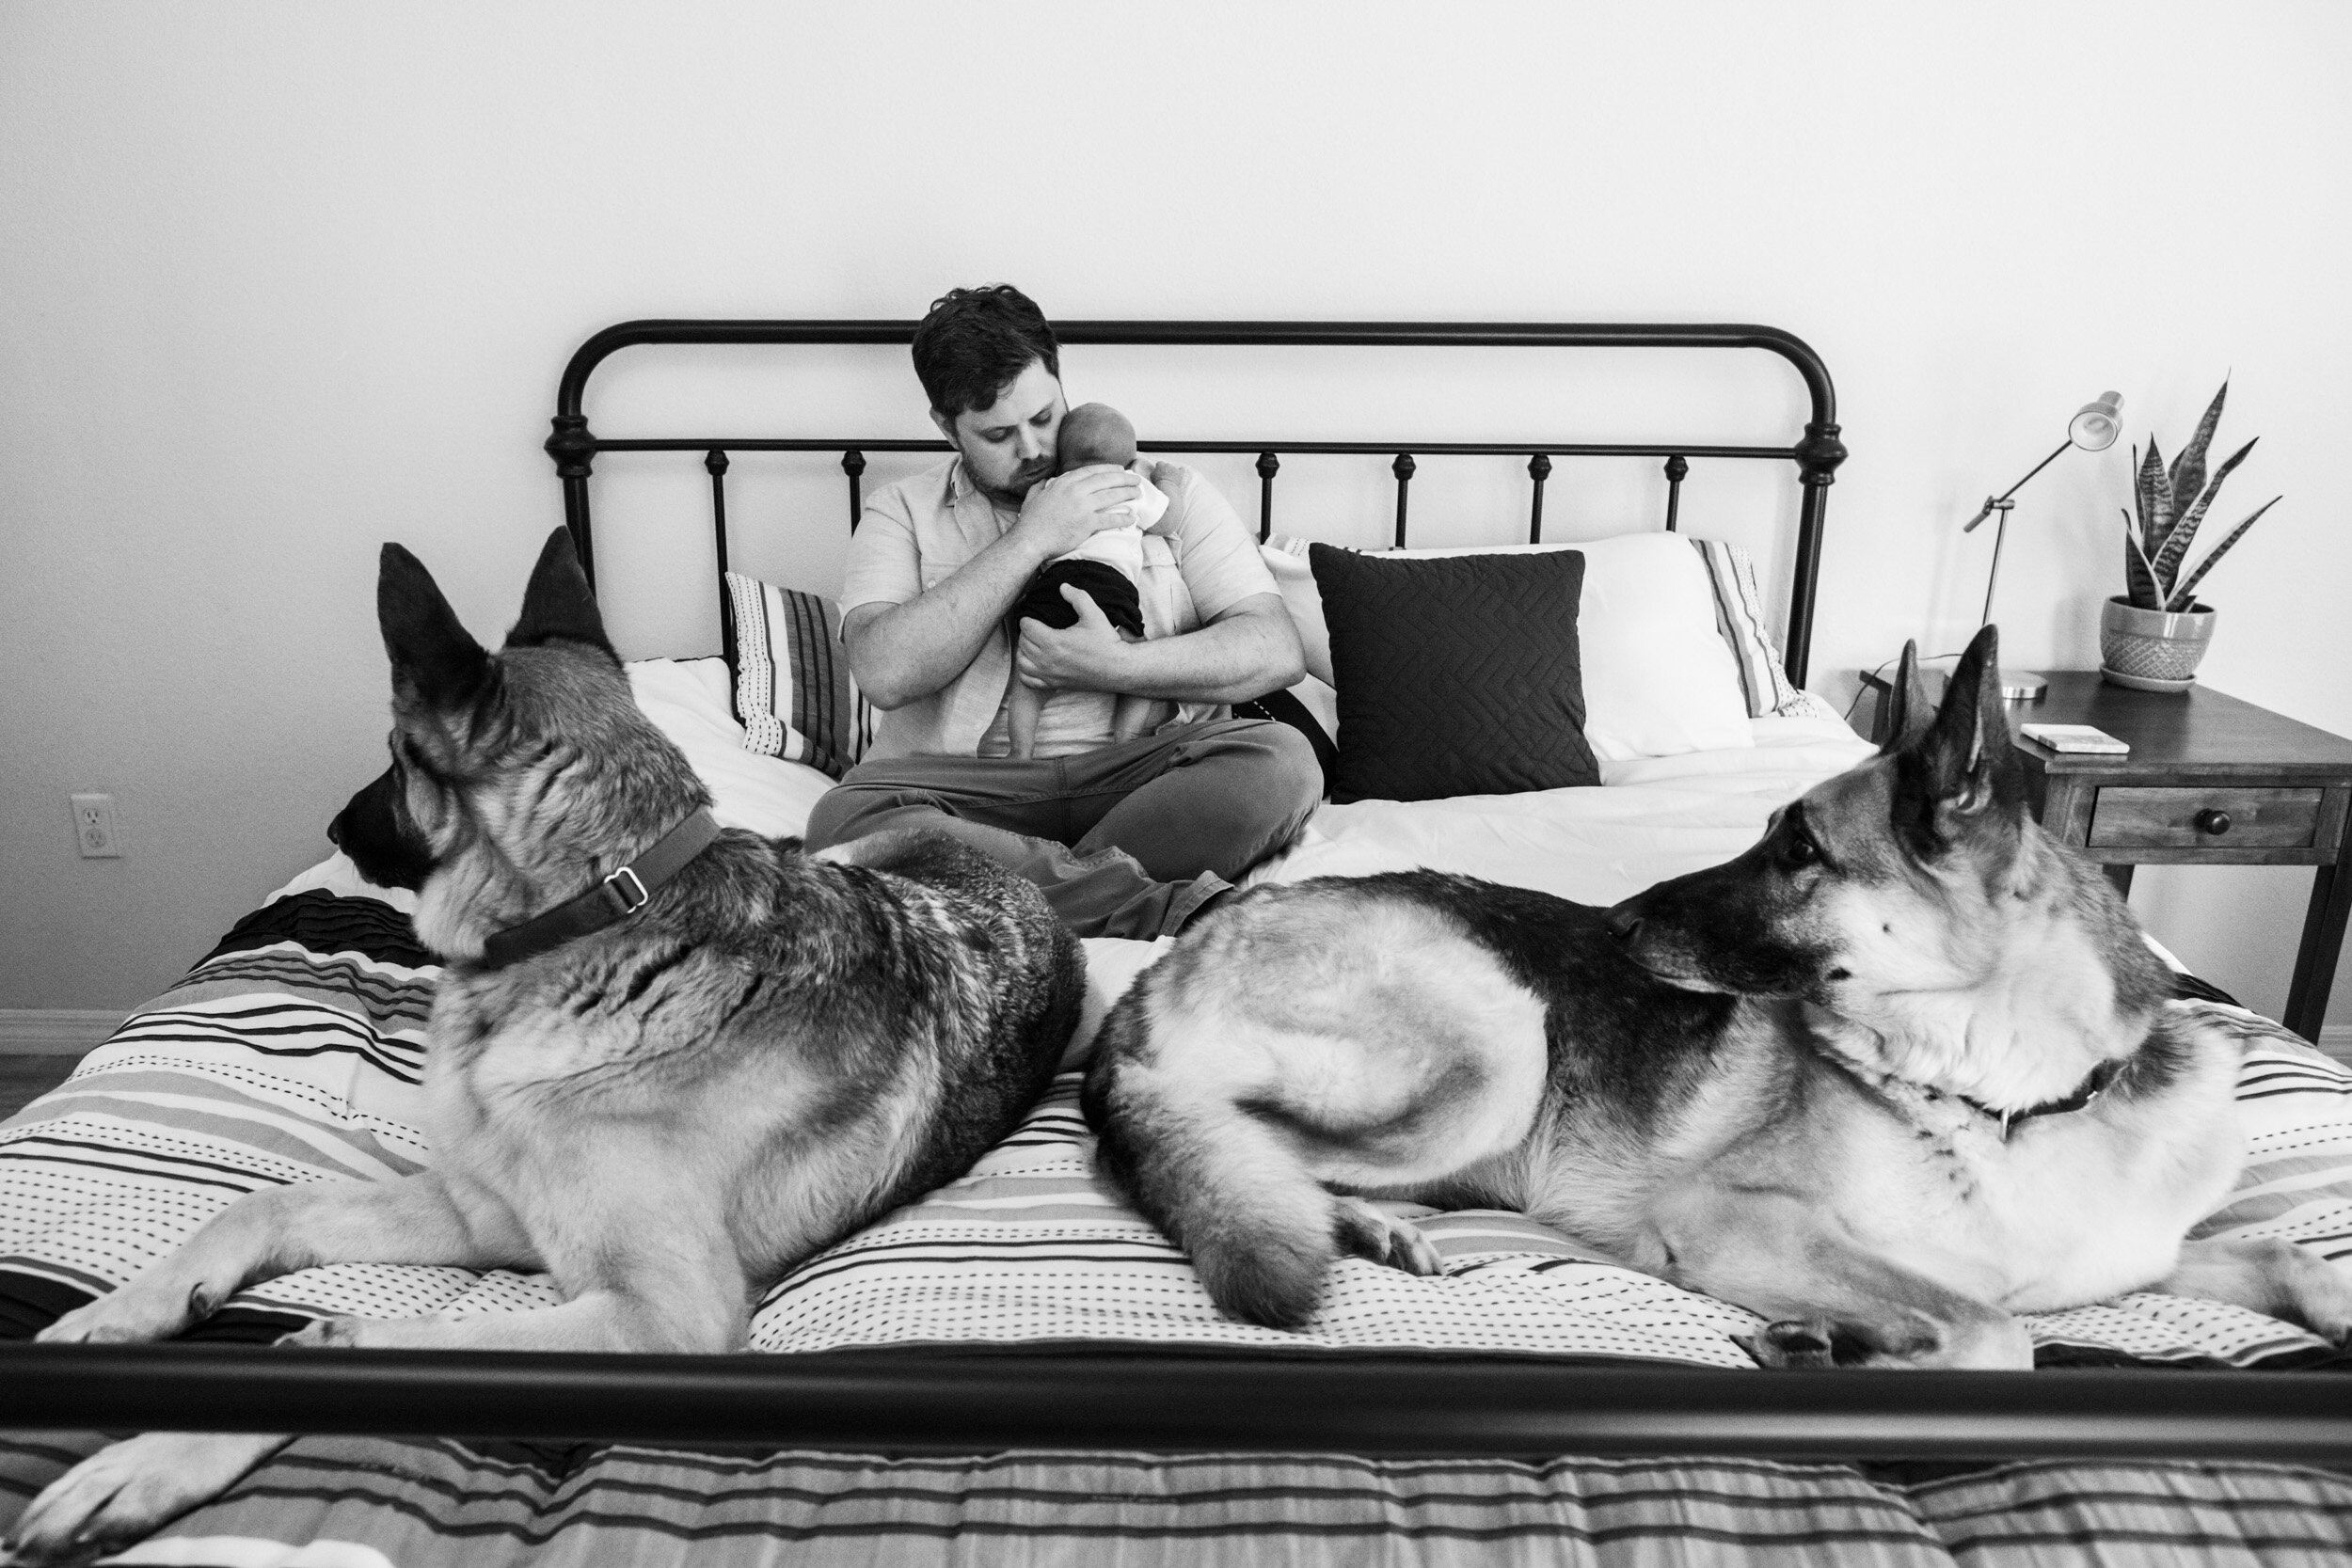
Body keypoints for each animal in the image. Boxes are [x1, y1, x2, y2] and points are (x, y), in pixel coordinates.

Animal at [2, 533, 1077, 1560]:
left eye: (395, 753)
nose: (332, 825)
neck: (601, 919)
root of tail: (1009, 870)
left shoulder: (662, 1318)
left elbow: (363, 1340)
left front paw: (148, 1459)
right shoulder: (484, 1211)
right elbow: (267, 1202)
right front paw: (121, 1311)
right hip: (845, 852)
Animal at [1087, 629, 2352, 1363]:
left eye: (1798, 848)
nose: (1616, 923)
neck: (2009, 1099)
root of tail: (1174, 955)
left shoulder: (2145, 1253)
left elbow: (2293, 1257)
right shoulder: (1734, 1219)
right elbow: (1997, 1330)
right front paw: (1847, 1342)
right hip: (1502, 1042)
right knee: (1249, 1143)